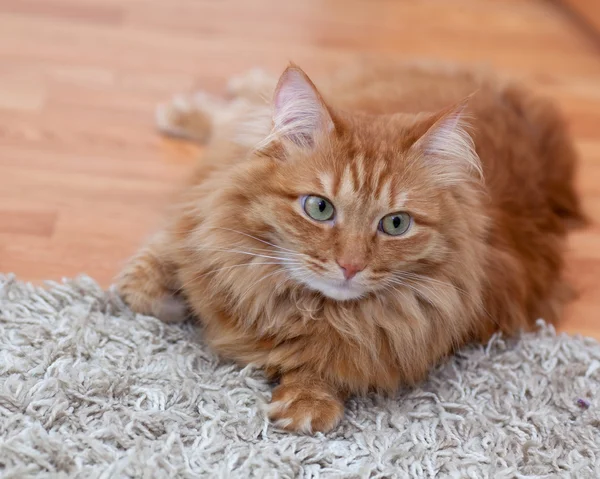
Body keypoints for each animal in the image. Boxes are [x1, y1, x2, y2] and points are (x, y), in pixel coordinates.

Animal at [115, 61, 584, 436]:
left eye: (395, 224)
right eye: (319, 208)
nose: (350, 265)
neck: (296, 304)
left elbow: (337, 361)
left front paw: (307, 400)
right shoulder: (196, 217)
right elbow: (145, 282)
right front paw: (171, 299)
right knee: (239, 107)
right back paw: (193, 106)